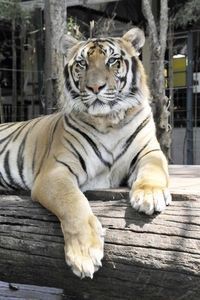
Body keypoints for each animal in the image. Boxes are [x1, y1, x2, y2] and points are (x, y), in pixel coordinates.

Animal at [0, 27, 171, 278]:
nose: (95, 87)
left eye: (112, 61)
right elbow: (73, 202)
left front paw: (150, 195)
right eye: (82, 63)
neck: (110, 121)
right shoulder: (55, 172)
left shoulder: (149, 152)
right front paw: (84, 255)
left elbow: (153, 170)